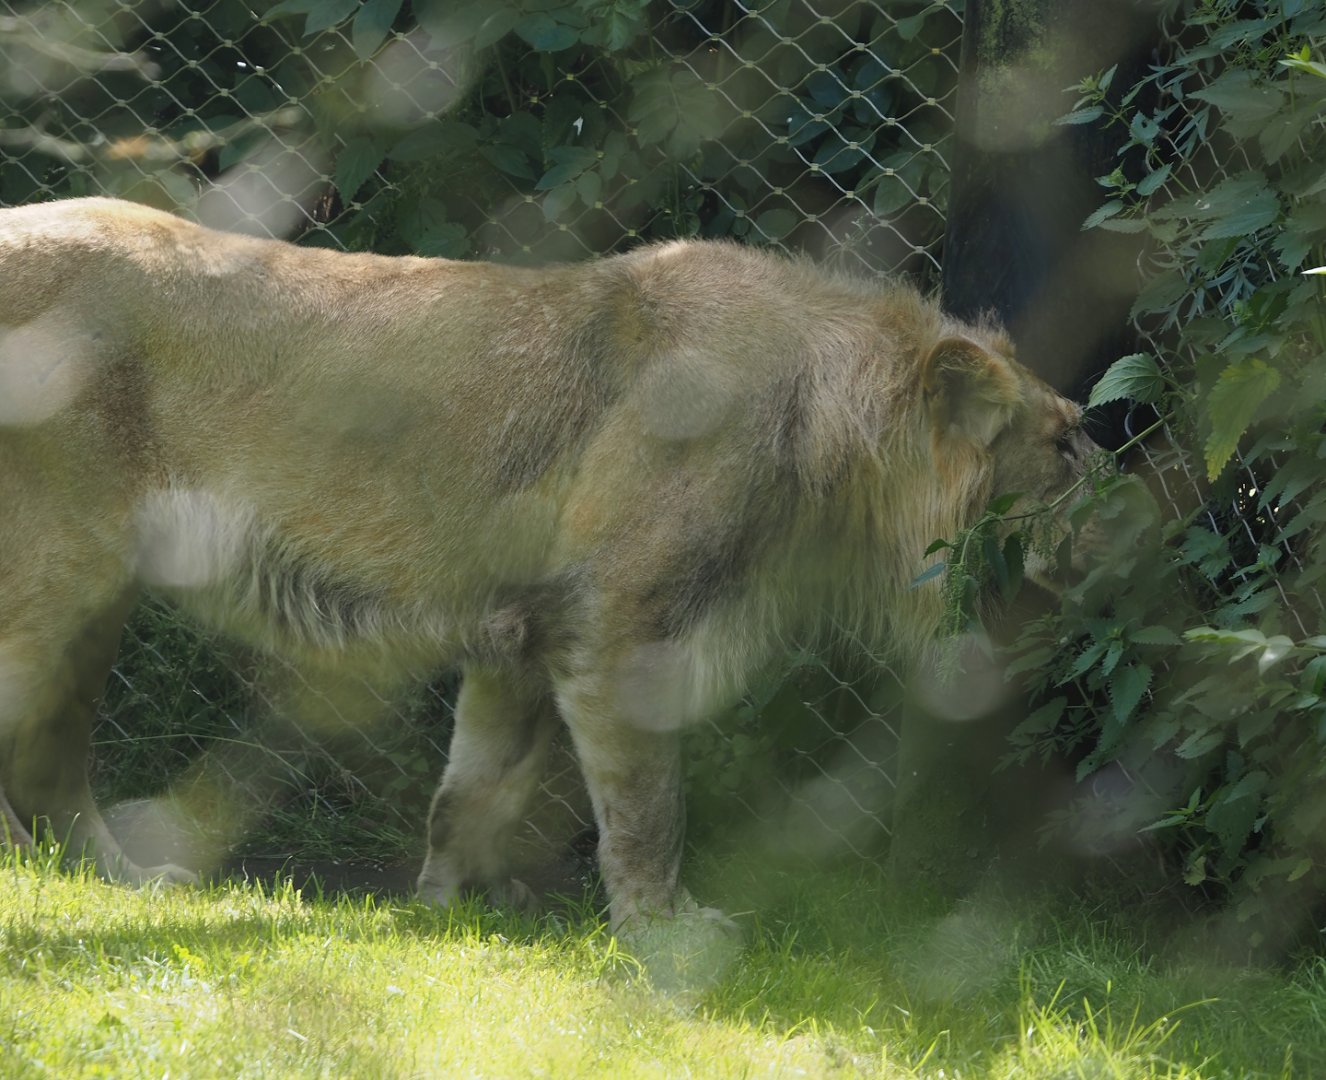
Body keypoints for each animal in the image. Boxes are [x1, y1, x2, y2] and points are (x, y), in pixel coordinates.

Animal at [0, 197, 1098, 932]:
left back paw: (124, 882)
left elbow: (472, 789)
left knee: (54, 758)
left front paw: (451, 910)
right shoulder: (621, 629)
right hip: (52, 574)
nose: (1123, 512)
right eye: (1065, 445)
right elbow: (649, 808)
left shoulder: (522, 629)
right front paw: (666, 935)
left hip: (89, 603)